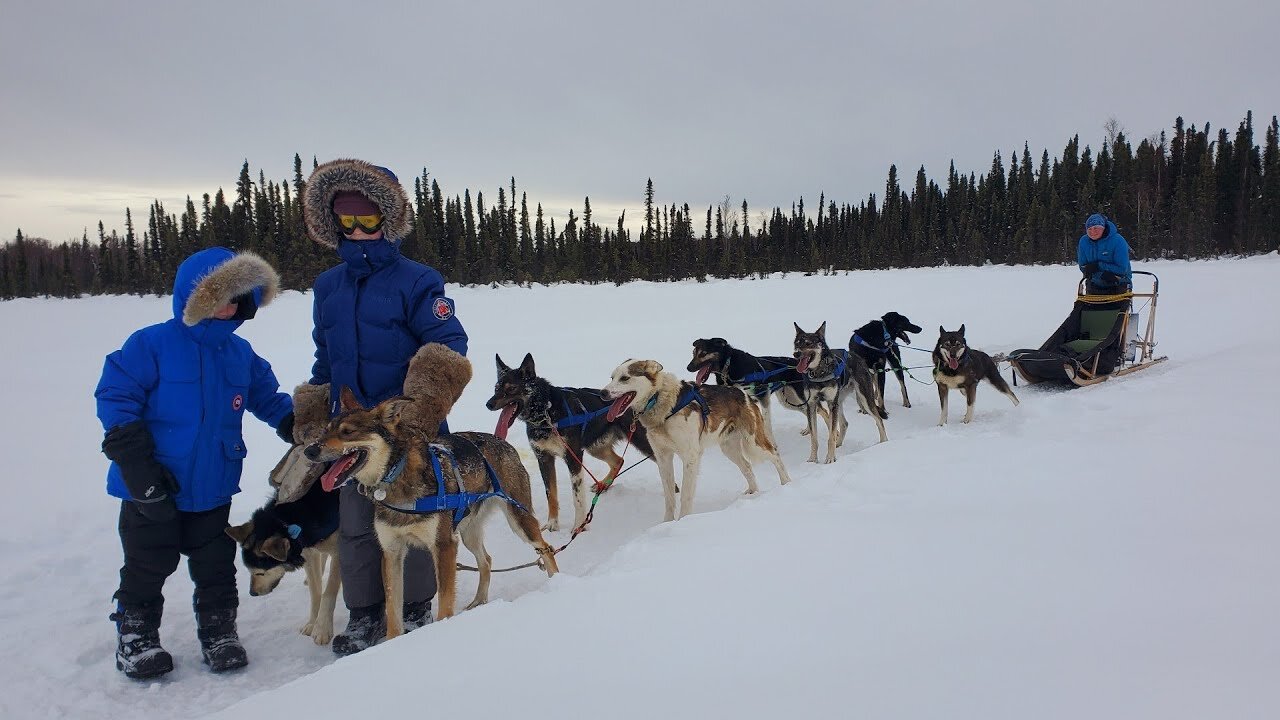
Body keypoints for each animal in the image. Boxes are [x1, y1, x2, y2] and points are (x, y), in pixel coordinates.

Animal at [599, 358, 788, 520]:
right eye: (612, 377)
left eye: (625, 378)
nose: (603, 393)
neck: (661, 402)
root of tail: (743, 395)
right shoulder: (663, 458)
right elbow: (669, 497)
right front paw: (666, 523)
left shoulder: (690, 457)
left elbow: (685, 495)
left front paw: (683, 521)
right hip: (729, 449)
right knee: (747, 467)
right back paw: (754, 492)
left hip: (753, 443)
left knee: (775, 455)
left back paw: (787, 483)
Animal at [793, 322, 885, 461]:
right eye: (796, 343)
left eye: (808, 343)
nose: (796, 354)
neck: (819, 373)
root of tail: (856, 357)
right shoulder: (812, 405)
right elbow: (814, 437)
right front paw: (813, 459)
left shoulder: (831, 403)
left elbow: (831, 435)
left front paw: (830, 458)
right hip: (839, 401)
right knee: (844, 423)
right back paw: (839, 444)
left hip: (863, 399)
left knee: (879, 419)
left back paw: (885, 443)